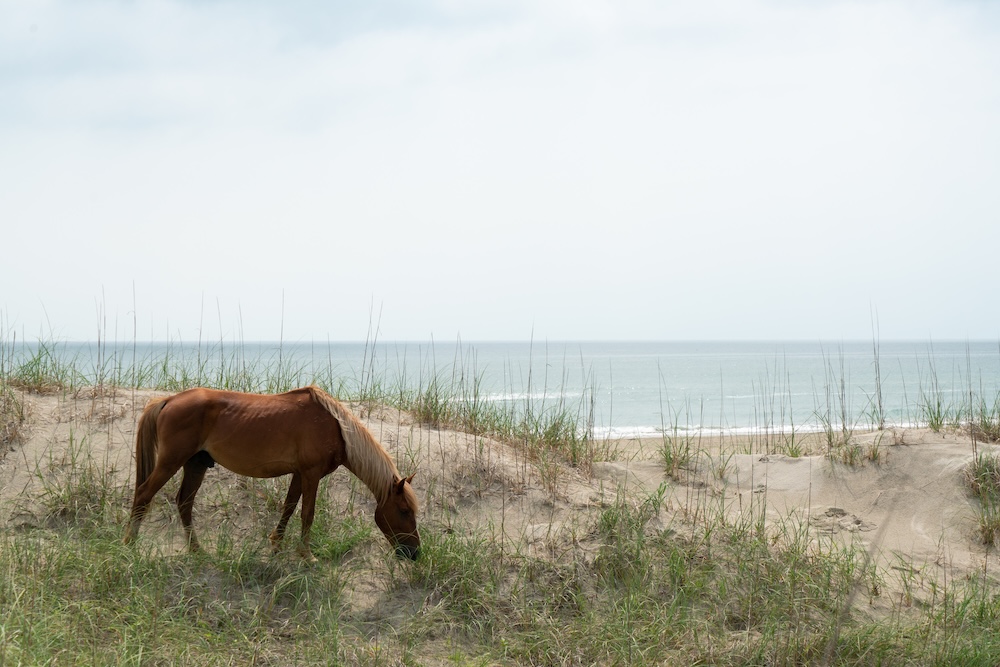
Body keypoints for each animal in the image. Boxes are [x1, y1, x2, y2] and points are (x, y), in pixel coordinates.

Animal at [122, 385, 420, 561]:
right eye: (404, 510)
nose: (415, 553)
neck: (336, 427)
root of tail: (169, 399)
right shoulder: (311, 474)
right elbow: (307, 514)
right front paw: (306, 555)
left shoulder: (300, 474)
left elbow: (289, 507)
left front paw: (276, 544)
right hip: (171, 462)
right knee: (144, 494)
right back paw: (129, 545)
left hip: (195, 464)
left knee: (184, 502)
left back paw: (197, 551)